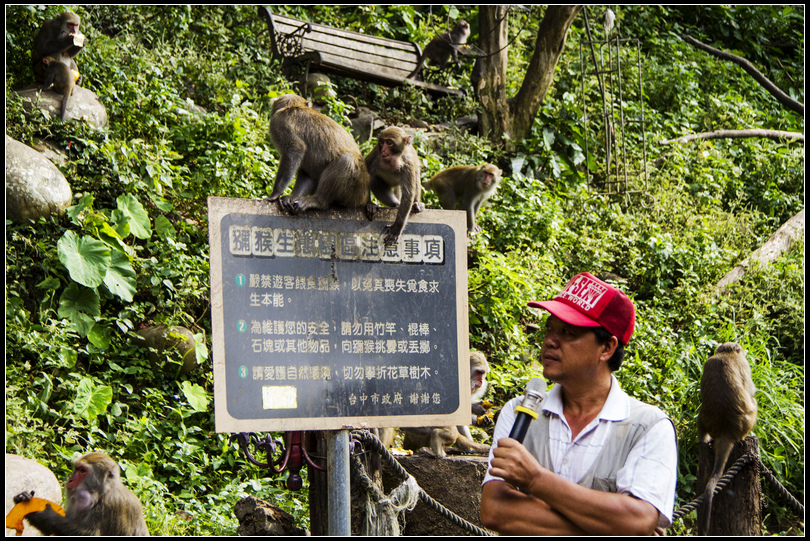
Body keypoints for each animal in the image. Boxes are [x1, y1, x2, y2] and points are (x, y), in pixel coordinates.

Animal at [13, 452, 150, 536]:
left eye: (83, 470)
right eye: (76, 469)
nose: (71, 479)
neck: (100, 495)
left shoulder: (114, 503)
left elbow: (92, 534)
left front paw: (45, 515)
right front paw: (25, 498)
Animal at [692, 342, 756, 532]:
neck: (728, 354)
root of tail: (725, 432)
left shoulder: (708, 362)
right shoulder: (744, 364)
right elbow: (751, 390)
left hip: (707, 423)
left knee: (701, 418)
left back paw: (704, 441)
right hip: (747, 422)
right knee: (753, 403)